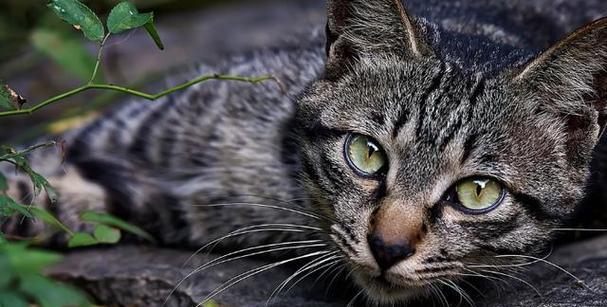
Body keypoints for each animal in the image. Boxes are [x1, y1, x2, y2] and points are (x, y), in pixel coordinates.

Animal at [1, 0, 607, 306]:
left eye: (477, 193)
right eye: (366, 154)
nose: (387, 248)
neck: (282, 177)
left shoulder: (146, 206)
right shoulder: (119, 131)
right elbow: (22, 181)